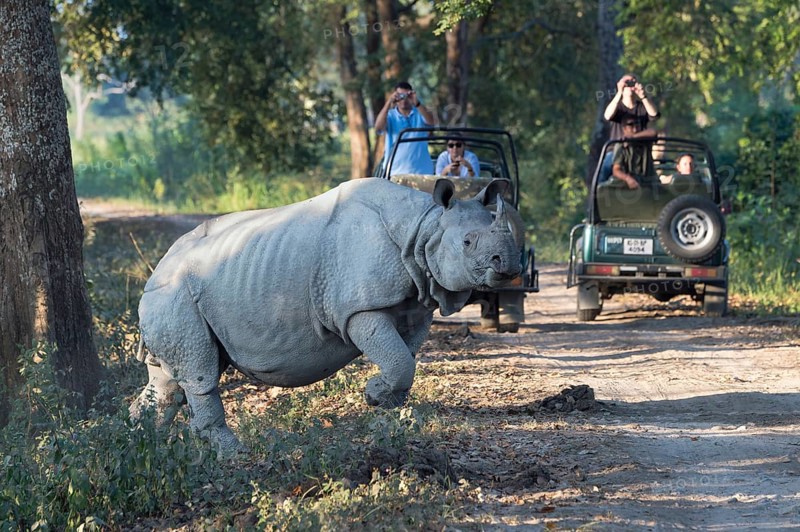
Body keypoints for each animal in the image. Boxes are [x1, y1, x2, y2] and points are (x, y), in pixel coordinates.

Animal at [132, 177, 521, 454]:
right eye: (467, 243)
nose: (511, 264)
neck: (424, 228)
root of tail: (155, 270)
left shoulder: (417, 304)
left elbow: (404, 362)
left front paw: (384, 415)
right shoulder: (356, 308)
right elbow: (398, 361)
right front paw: (374, 393)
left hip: (178, 296)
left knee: (167, 383)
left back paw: (135, 447)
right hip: (174, 295)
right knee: (199, 373)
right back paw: (236, 458)